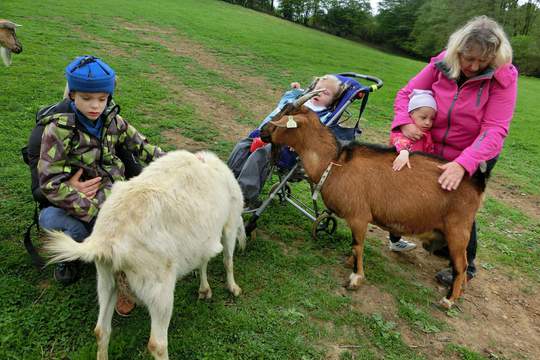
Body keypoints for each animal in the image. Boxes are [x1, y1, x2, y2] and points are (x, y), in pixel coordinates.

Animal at [44, 150, 247, 360]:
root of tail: (106, 240)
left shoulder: (203, 241)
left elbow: (203, 262)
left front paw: (204, 289)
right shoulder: (230, 224)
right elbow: (228, 260)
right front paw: (233, 288)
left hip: (106, 280)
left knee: (101, 330)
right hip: (158, 289)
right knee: (157, 344)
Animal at [260, 100, 488, 308]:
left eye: (283, 118)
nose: (262, 132)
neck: (335, 162)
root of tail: (476, 182)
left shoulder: (359, 216)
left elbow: (357, 245)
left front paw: (355, 278)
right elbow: (354, 247)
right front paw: (349, 262)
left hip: (458, 230)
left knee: (461, 265)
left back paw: (448, 300)